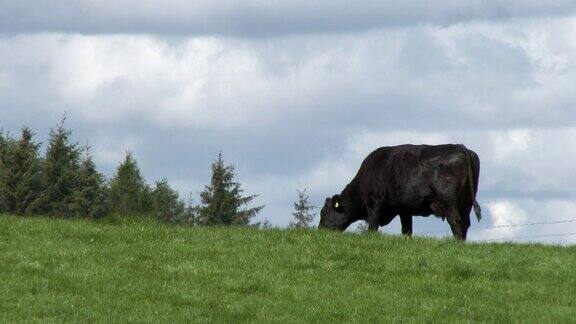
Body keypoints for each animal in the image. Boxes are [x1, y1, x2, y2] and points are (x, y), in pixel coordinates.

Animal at [320, 144, 482, 240]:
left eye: (324, 213)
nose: (319, 230)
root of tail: (460, 147)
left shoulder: (374, 203)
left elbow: (372, 226)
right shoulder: (405, 209)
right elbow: (407, 230)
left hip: (447, 199)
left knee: (455, 219)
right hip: (468, 199)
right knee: (465, 222)